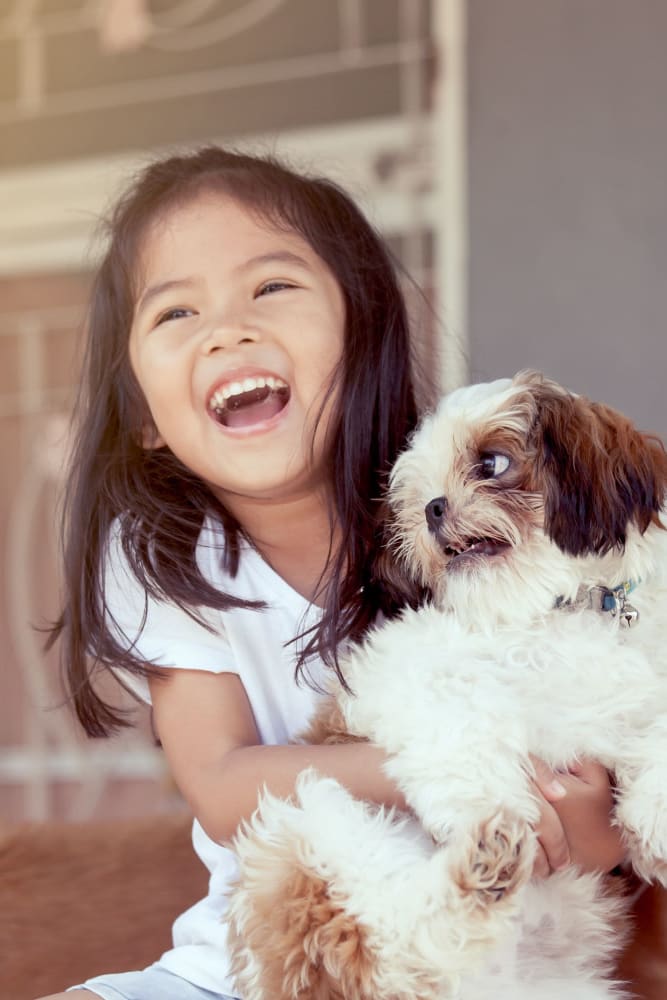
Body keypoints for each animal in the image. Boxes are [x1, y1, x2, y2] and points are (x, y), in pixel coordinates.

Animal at [228, 372, 667, 1000]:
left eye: (492, 463)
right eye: (418, 494)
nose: (432, 507)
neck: (552, 612)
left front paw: (653, 819)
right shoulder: (399, 668)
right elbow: (460, 714)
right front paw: (488, 801)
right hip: (304, 829)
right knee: (396, 942)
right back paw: (486, 857)